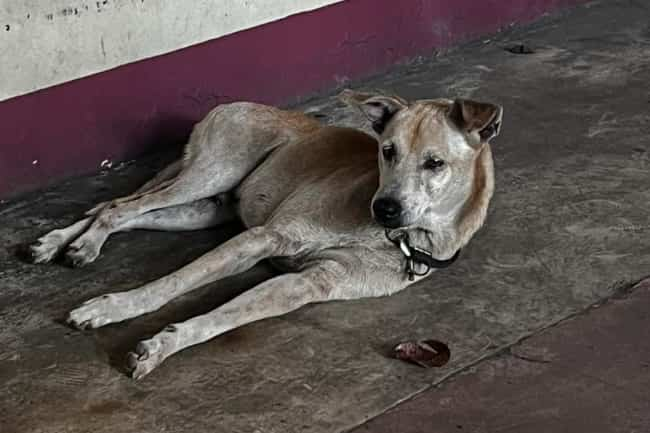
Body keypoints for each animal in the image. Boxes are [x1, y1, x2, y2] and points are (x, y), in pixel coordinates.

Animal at [26, 89, 502, 376]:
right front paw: (112, 308)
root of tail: (234, 105)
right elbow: (172, 283)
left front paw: (164, 345)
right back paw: (78, 243)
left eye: (435, 163)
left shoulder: (307, 283)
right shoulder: (264, 238)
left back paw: (65, 242)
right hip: (207, 175)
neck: (394, 236)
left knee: (121, 211)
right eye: (387, 151)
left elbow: (225, 317)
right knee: (116, 207)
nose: (383, 207)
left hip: (201, 209)